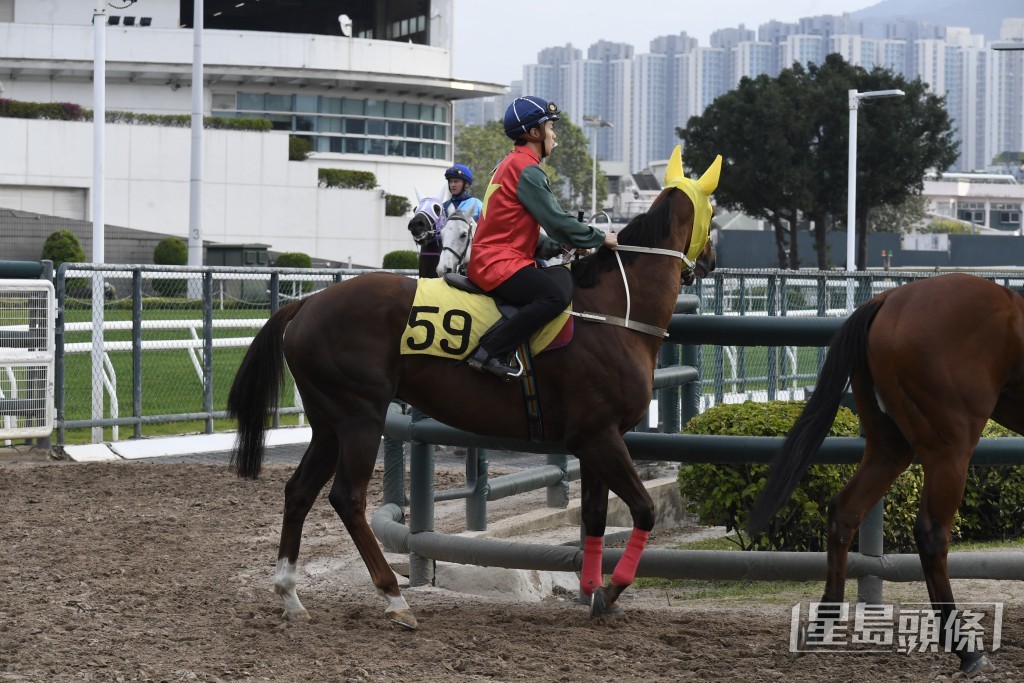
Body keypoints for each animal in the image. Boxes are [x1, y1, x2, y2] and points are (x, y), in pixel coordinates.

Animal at [226, 148, 720, 630]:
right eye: (713, 211)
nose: (711, 259)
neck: (612, 312)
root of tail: (306, 303)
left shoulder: (596, 440)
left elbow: (595, 518)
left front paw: (594, 592)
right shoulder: (600, 439)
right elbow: (644, 509)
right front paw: (613, 588)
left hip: (328, 423)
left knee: (299, 491)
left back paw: (290, 594)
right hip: (359, 418)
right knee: (346, 498)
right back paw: (394, 596)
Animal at [745, 274, 1024, 679]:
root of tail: (889, 299)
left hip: (890, 447)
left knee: (845, 509)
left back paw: (823, 624)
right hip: (950, 449)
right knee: (931, 534)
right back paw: (965, 649)